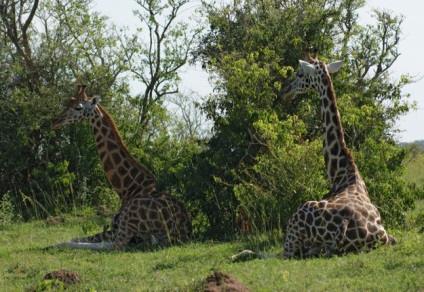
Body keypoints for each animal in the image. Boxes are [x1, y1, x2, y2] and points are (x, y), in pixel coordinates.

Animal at [50, 85, 194, 250]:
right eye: (68, 102)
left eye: (78, 107)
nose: (54, 121)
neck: (128, 189)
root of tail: (182, 233)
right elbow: (78, 237)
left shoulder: (116, 227)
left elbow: (78, 239)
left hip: (128, 219)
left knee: (113, 245)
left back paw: (55, 245)